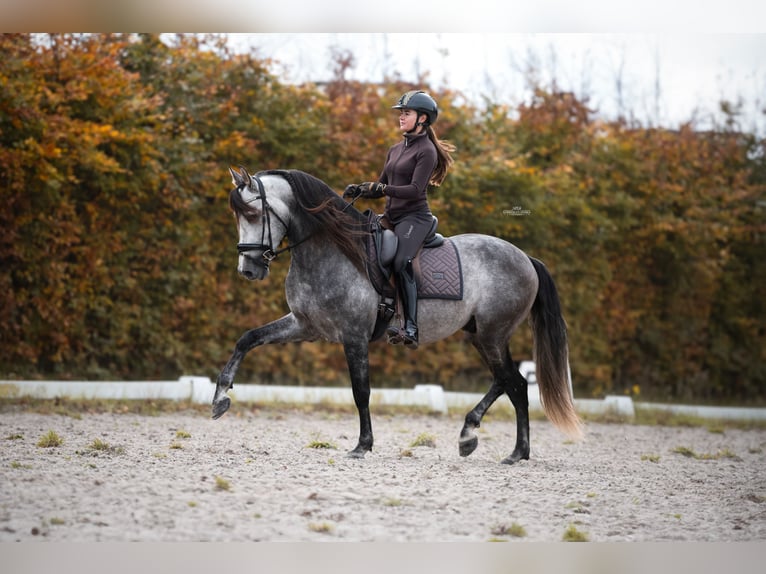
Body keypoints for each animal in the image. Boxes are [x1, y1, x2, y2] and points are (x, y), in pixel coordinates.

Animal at [210, 166, 584, 464]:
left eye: (254, 214)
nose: (248, 270)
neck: (330, 249)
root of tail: (525, 258)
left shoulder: (354, 336)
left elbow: (361, 390)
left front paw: (362, 445)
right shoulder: (304, 325)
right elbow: (248, 339)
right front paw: (220, 398)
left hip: (493, 334)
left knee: (514, 383)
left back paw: (511, 450)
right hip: (479, 335)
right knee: (508, 382)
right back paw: (480, 439)